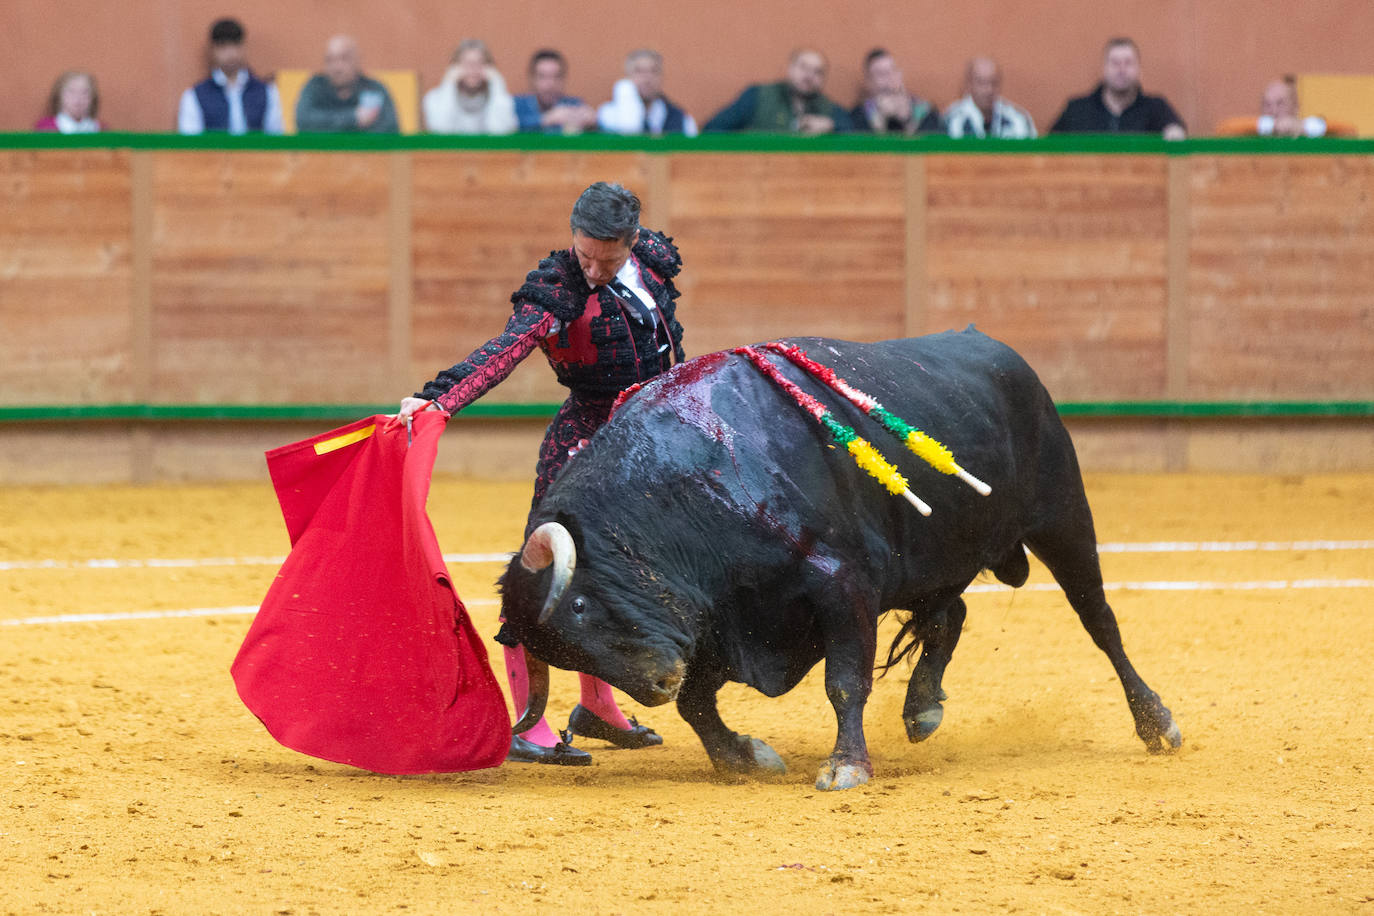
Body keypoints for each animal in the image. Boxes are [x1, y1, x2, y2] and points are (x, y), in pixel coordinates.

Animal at [497, 329, 1181, 791]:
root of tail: (1000, 351)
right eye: (564, 652)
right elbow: (698, 704)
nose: (656, 683)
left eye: (578, 604)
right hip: (931, 560)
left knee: (1100, 621)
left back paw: (1157, 724)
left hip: (1063, 518)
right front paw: (744, 758)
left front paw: (845, 766)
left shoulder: (840, 586)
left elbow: (844, 680)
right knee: (950, 614)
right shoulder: (721, 622)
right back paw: (922, 708)